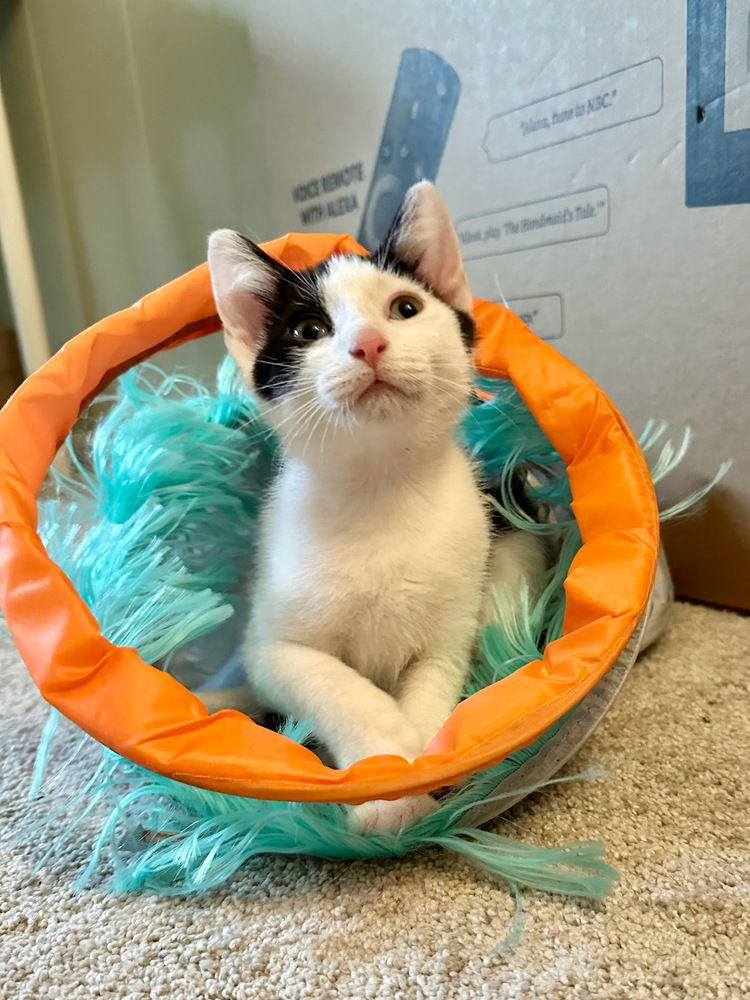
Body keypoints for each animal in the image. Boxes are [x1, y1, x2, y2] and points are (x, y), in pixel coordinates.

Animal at [206, 184, 548, 832]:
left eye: (405, 308)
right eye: (309, 329)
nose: (368, 343)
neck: (379, 488)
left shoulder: (448, 636)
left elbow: (432, 692)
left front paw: (421, 770)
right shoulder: (273, 648)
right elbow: (338, 687)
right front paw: (388, 778)